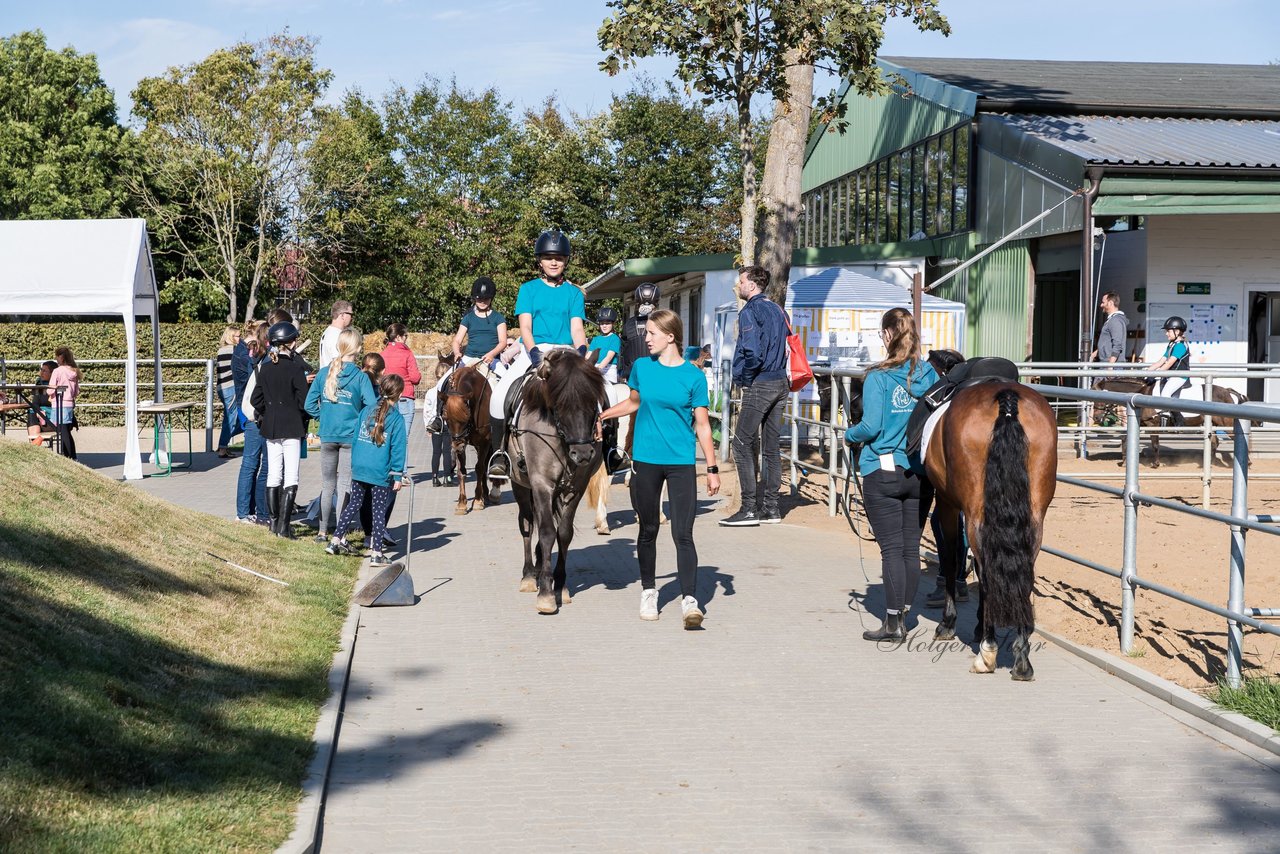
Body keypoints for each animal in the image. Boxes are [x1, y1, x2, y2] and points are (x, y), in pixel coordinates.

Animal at [440, 361, 499, 514]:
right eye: (445, 417)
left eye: (465, 417)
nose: (457, 446)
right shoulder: (463, 443)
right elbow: (461, 471)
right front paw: (462, 503)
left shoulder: (484, 442)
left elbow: (479, 468)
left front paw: (477, 501)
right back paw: (485, 494)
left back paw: (491, 494)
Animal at [506, 348, 606, 614]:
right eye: (559, 405)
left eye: (593, 402)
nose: (583, 454)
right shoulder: (541, 484)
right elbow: (547, 532)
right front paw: (546, 593)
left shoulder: (576, 488)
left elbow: (563, 533)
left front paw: (560, 586)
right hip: (521, 485)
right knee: (528, 523)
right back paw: (530, 575)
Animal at [926, 384, 1054, 686]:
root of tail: (1006, 398)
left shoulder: (947, 503)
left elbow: (952, 559)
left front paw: (948, 623)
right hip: (1034, 518)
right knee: (1023, 572)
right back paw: (1021, 660)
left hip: (974, 513)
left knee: (986, 572)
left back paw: (987, 653)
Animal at [1095, 376, 1244, 468]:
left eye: (1099, 399)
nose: (1096, 418)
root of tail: (1227, 391)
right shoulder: (1141, 424)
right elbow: (1125, 440)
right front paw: (1125, 461)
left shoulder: (1153, 425)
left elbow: (1155, 445)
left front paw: (1156, 464)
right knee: (1214, 442)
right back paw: (1207, 463)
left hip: (1227, 423)